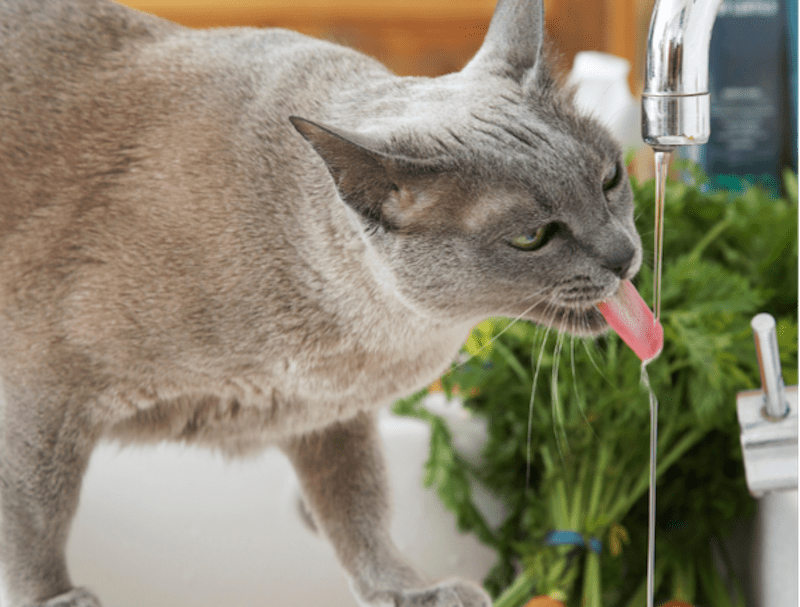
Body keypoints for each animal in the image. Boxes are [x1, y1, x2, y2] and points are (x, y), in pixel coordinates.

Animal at [0, 0, 640, 604]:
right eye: (533, 237)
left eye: (610, 178)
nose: (625, 256)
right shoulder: (41, 392)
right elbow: (37, 515)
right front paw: (56, 598)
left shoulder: (329, 418)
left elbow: (358, 509)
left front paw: (406, 591)